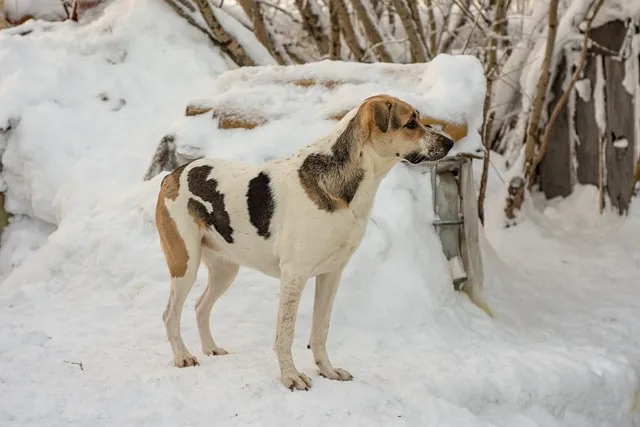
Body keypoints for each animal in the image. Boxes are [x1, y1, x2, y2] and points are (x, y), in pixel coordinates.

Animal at [155, 93, 456, 392]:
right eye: (411, 123)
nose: (450, 143)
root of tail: (172, 175)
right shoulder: (294, 276)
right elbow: (285, 334)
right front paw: (290, 377)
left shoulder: (331, 274)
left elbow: (321, 330)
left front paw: (328, 371)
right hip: (185, 264)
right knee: (170, 314)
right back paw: (182, 356)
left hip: (225, 269)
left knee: (200, 306)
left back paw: (211, 348)